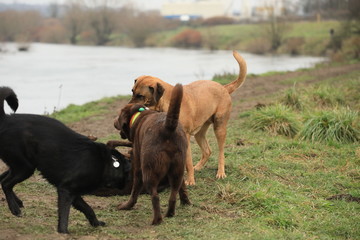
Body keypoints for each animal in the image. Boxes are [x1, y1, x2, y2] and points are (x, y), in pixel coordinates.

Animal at [0, 86, 131, 234]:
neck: (106, 163)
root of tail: (5, 119)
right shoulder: (66, 190)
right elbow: (64, 213)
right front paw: (63, 231)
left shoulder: (75, 194)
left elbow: (88, 209)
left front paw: (96, 223)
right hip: (24, 167)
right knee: (6, 183)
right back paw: (14, 209)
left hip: (22, 165)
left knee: (2, 178)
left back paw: (18, 202)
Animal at [112, 83, 191, 225]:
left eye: (119, 113)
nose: (114, 121)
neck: (139, 115)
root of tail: (167, 128)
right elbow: (182, 188)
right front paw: (186, 202)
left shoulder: (138, 165)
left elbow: (134, 191)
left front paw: (126, 206)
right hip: (177, 169)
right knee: (173, 194)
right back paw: (170, 213)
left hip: (149, 171)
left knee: (155, 196)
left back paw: (156, 220)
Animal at [129, 50, 248, 186]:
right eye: (132, 91)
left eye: (140, 96)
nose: (129, 107)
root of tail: (224, 87)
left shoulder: (184, 137)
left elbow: (188, 162)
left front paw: (190, 180)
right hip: (199, 133)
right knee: (207, 151)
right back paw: (198, 167)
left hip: (220, 127)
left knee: (221, 153)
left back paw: (220, 172)